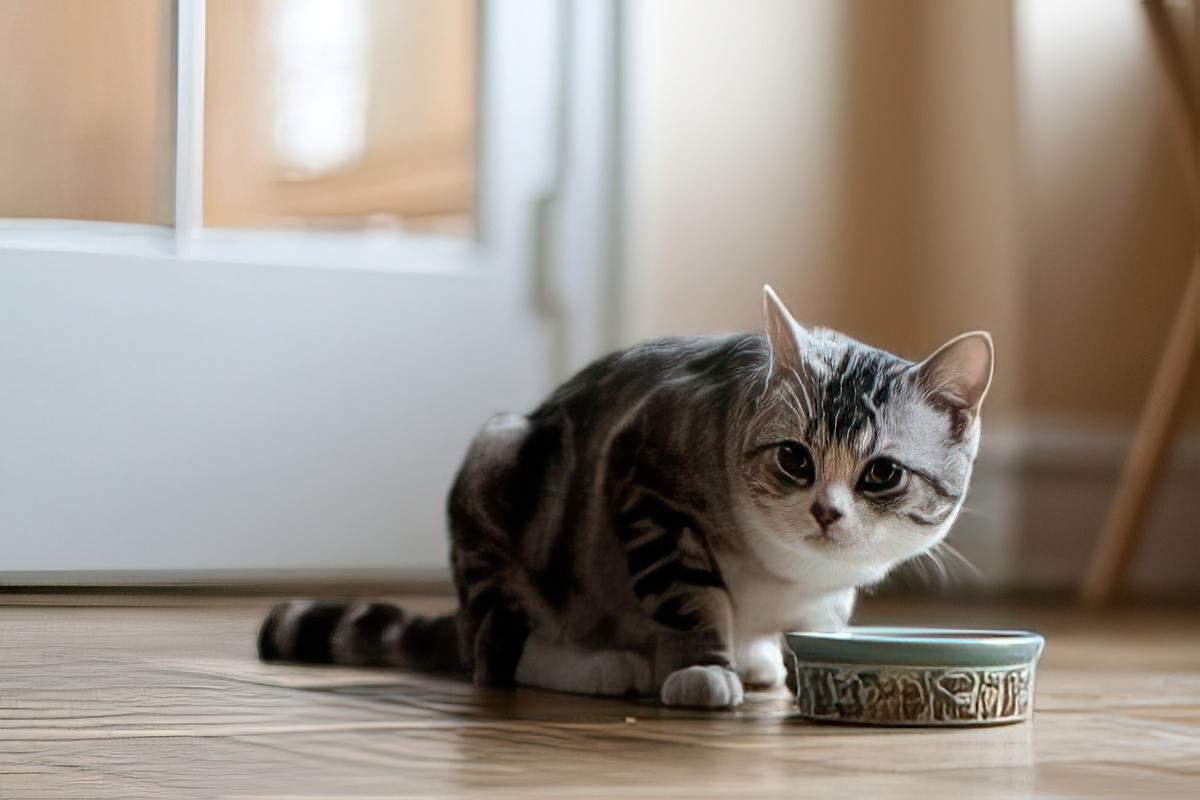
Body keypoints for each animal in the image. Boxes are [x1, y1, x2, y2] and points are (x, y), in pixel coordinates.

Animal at [262, 286, 993, 705]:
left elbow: (821, 624)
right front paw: (701, 669)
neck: (788, 573)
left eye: (882, 474)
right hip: (498, 464)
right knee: (500, 654)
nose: (826, 511)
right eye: (794, 459)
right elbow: (686, 592)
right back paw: (604, 666)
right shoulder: (646, 476)